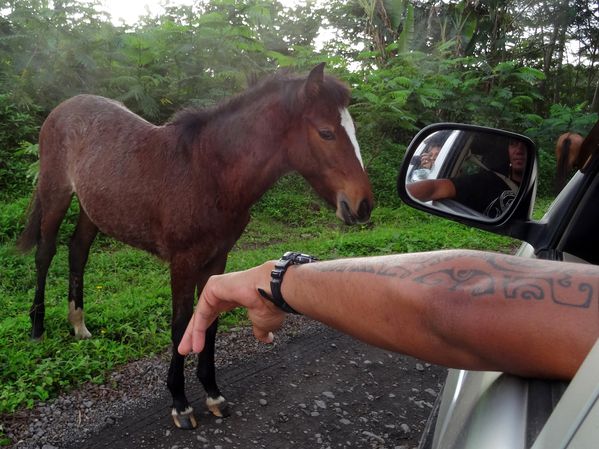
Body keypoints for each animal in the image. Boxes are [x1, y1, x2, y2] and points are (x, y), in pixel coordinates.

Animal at [17, 63, 370, 428]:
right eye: (326, 132)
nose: (362, 205)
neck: (208, 173)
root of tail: (63, 108)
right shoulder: (183, 262)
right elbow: (181, 325)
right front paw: (180, 402)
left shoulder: (217, 260)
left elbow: (209, 321)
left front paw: (213, 394)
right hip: (55, 193)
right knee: (45, 253)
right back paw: (37, 328)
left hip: (92, 210)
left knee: (78, 251)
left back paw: (78, 324)